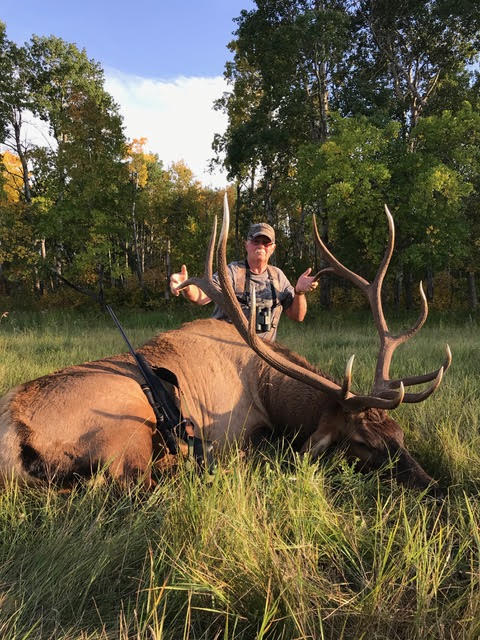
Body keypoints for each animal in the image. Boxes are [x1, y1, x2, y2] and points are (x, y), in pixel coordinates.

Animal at [0, 196, 451, 491]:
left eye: (399, 435)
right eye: (363, 443)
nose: (434, 485)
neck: (267, 388)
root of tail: (14, 433)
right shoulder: (238, 429)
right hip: (122, 428)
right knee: (117, 485)